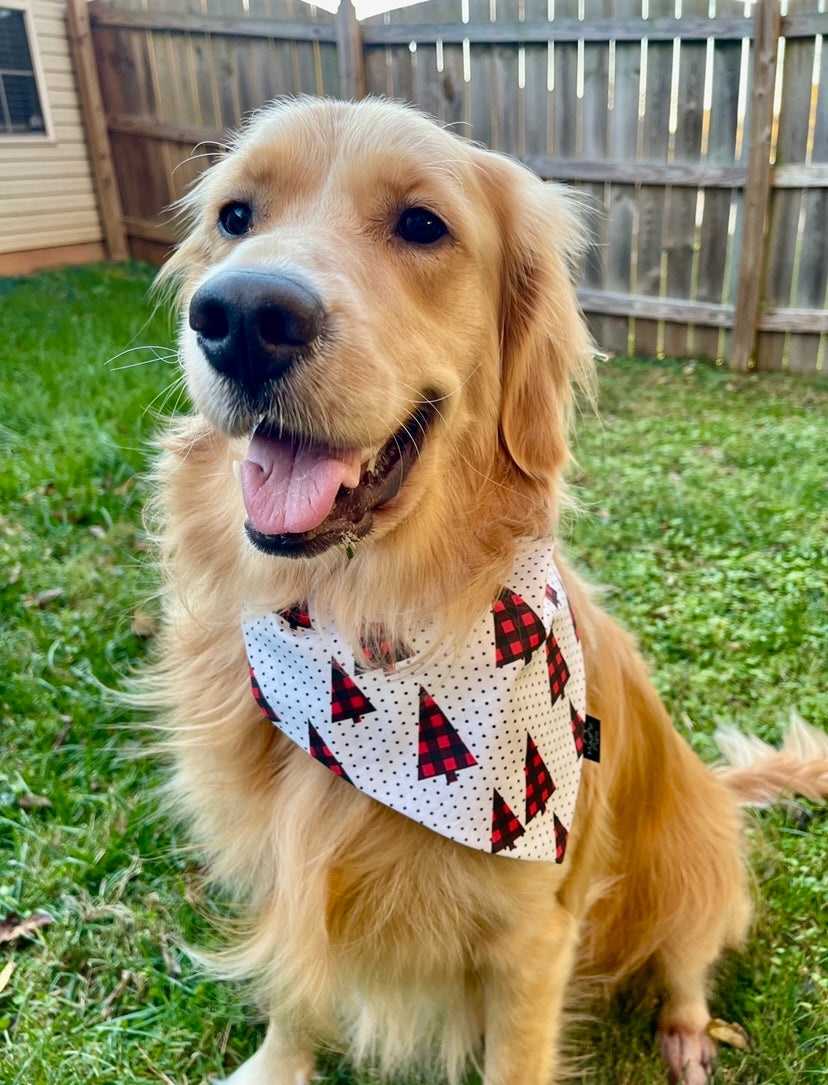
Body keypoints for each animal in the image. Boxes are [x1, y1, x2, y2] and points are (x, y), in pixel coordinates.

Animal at [148, 95, 828, 1085]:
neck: (365, 631)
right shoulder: (286, 867)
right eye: (236, 216)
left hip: (697, 859)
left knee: (688, 957)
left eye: (422, 225)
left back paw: (688, 1031)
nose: (239, 315)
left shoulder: (533, 938)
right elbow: (294, 990)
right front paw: (277, 1065)